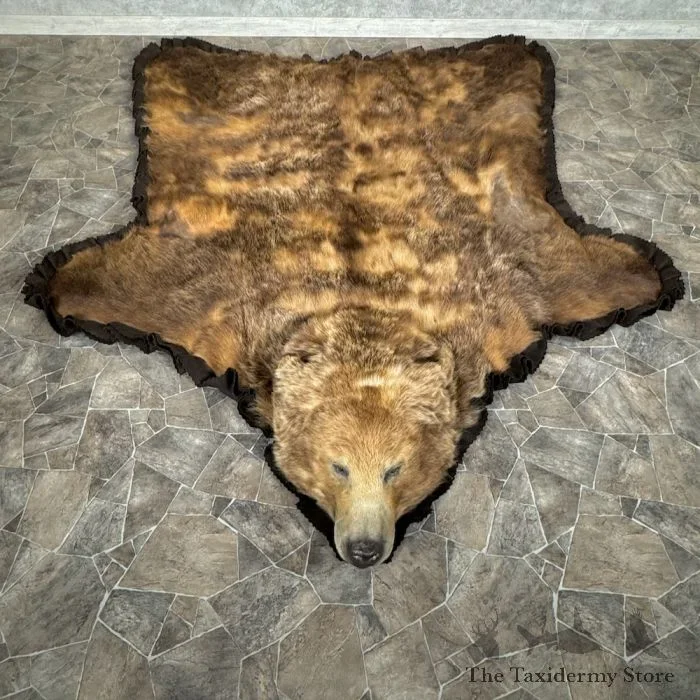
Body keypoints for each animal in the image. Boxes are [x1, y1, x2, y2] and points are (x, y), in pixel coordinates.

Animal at [44, 41, 667, 567]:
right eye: (338, 467)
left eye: (395, 470)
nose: (365, 548)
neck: (362, 314)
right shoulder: (205, 293)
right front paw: (64, 283)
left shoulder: (510, 284)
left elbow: (585, 274)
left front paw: (646, 275)